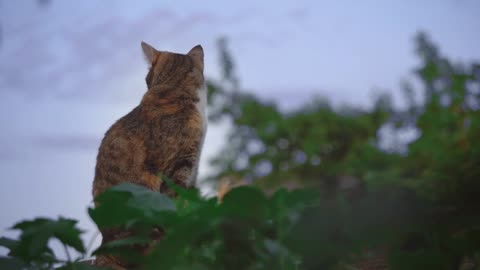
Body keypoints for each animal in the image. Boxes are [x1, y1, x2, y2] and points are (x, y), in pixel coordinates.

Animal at [93, 41, 207, 268]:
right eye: (147, 79)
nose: (146, 85)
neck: (175, 88)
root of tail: (106, 248)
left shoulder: (193, 167)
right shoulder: (177, 167)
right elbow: (176, 203)